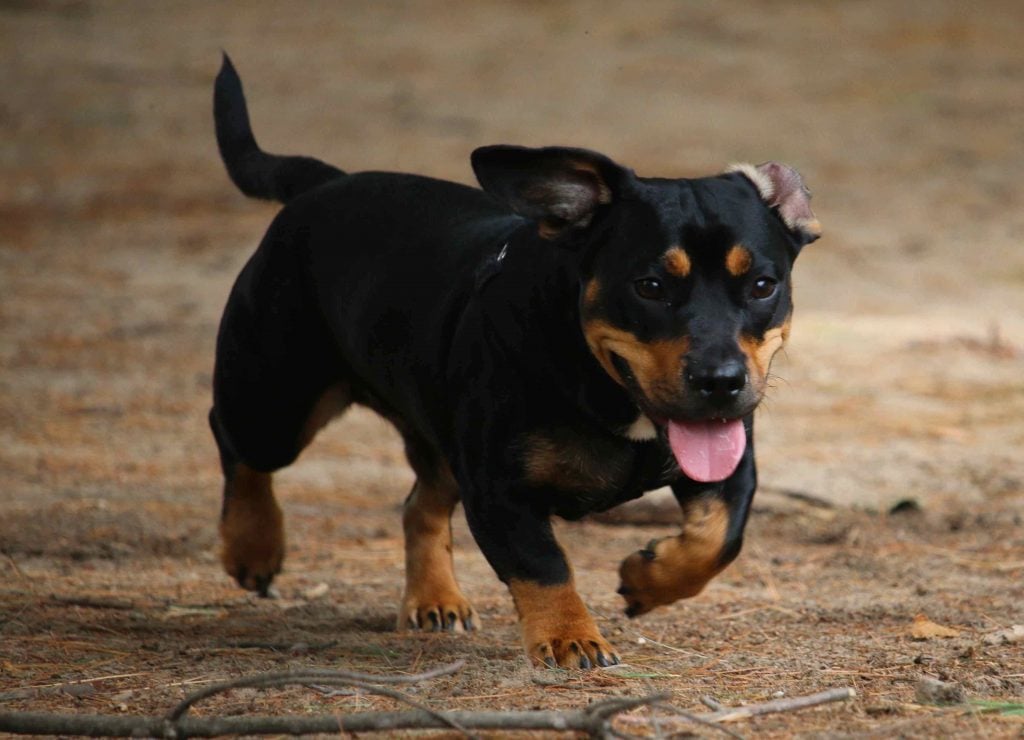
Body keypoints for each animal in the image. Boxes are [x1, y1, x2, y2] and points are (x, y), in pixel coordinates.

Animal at [209, 55, 823, 671]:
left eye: (763, 285)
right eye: (650, 286)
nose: (720, 382)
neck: (604, 389)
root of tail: (324, 184)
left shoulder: (730, 467)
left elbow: (718, 539)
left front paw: (645, 579)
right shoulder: (499, 487)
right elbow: (542, 565)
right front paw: (571, 638)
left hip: (437, 437)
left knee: (418, 504)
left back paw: (435, 600)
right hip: (275, 400)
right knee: (238, 444)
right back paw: (253, 547)